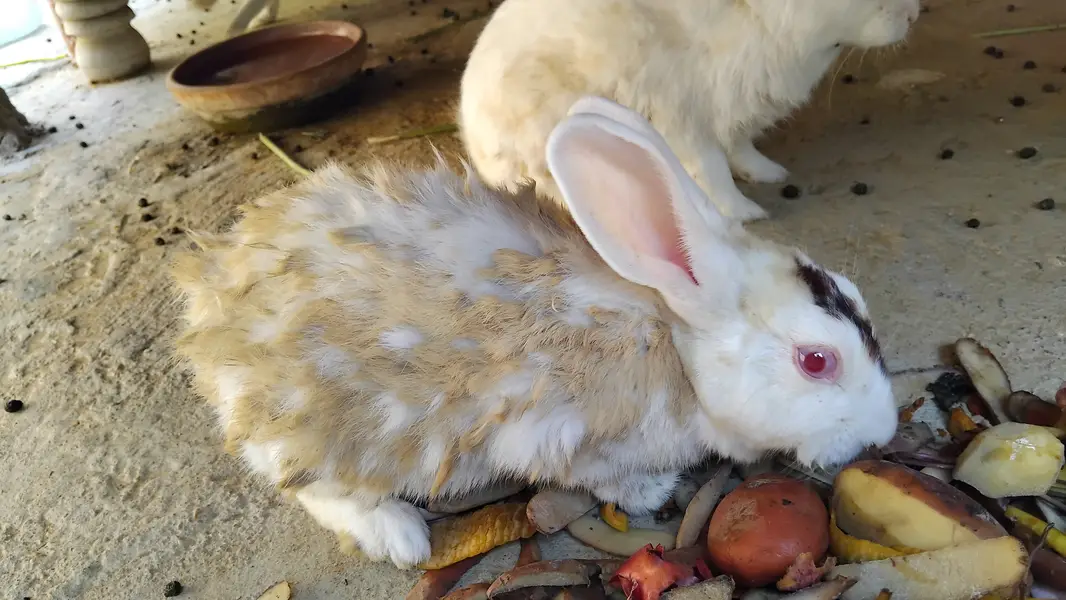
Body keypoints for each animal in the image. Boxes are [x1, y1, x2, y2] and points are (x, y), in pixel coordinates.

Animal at [172, 95, 897, 569]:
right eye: (816, 361)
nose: (884, 430)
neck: (679, 343)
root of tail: (210, 298)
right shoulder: (569, 439)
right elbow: (604, 477)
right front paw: (652, 491)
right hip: (322, 428)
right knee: (312, 487)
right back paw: (399, 536)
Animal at [458, 0, 921, 222]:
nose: (913, 13)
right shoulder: (682, 119)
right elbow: (712, 170)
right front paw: (745, 214)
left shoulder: (734, 110)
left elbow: (740, 148)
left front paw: (770, 174)